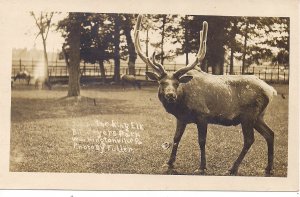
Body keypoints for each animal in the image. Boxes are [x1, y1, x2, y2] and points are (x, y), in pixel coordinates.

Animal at [135, 14, 278, 176]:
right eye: (162, 83)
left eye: (177, 83)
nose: (171, 95)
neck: (182, 105)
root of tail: (271, 90)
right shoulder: (181, 118)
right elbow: (176, 138)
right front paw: (169, 163)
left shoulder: (202, 114)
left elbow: (202, 141)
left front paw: (202, 167)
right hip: (258, 116)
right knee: (270, 134)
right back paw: (268, 168)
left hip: (248, 115)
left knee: (249, 139)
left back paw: (232, 168)